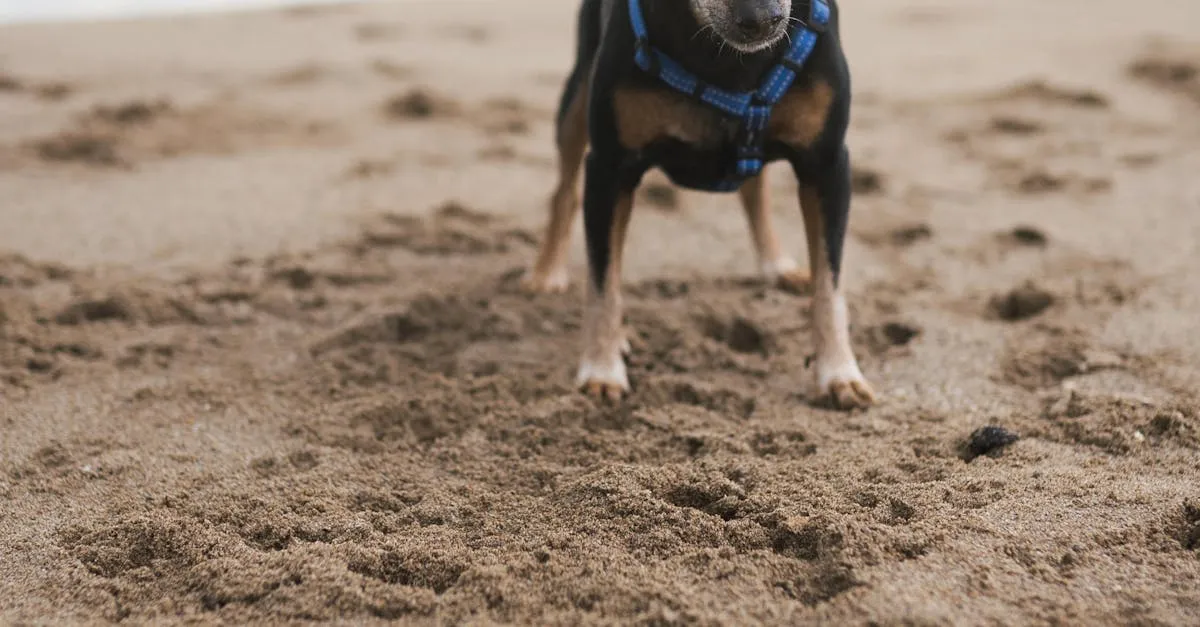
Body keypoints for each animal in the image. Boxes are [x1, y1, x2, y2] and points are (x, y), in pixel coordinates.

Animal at [516, 0, 873, 410]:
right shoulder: (609, 167)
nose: (763, 20)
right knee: (564, 190)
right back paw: (547, 272)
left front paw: (839, 371)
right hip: (578, 89)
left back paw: (775, 264)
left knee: (754, 187)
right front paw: (602, 368)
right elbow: (604, 281)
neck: (724, 56)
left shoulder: (827, 166)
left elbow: (830, 284)